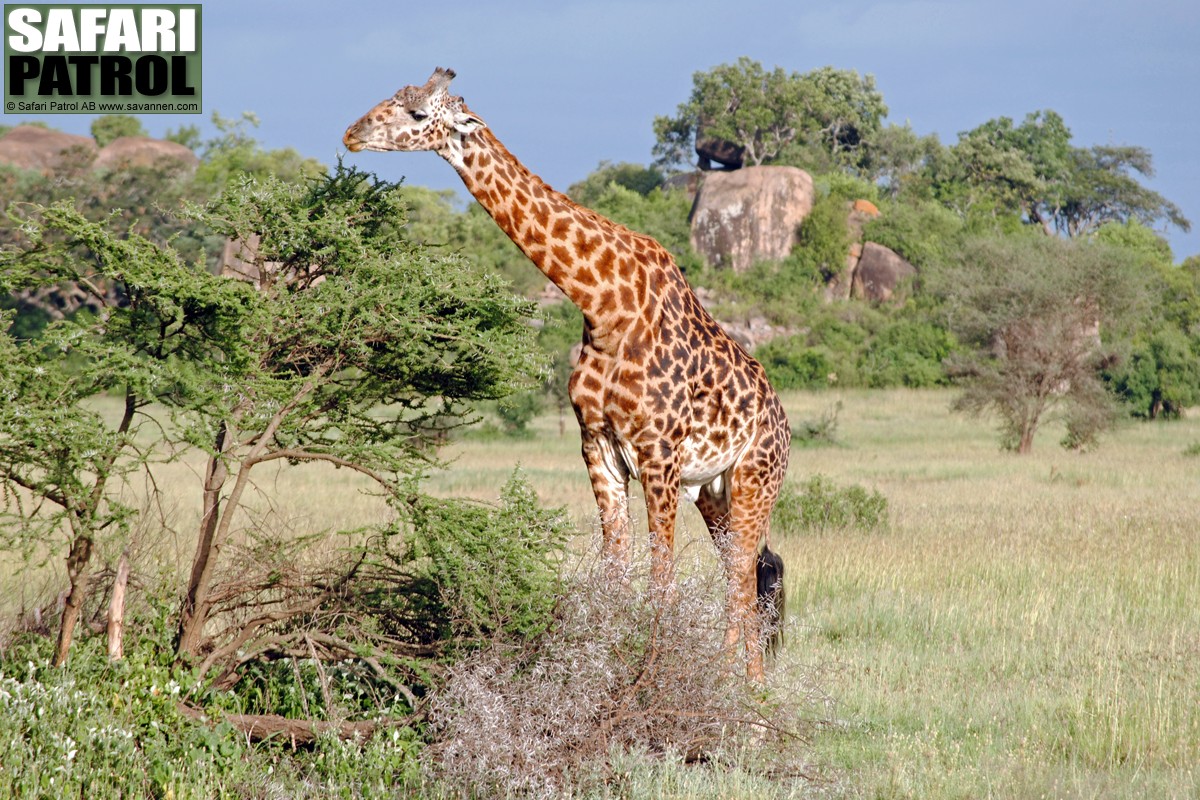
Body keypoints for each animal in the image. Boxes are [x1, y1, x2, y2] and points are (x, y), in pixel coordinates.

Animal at [343, 70, 792, 681]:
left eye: (416, 113)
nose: (352, 133)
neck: (602, 303)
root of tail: (784, 424)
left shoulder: (658, 453)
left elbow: (662, 582)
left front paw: (648, 683)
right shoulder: (597, 445)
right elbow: (615, 575)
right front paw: (607, 671)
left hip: (753, 480)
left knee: (746, 577)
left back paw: (745, 690)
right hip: (714, 491)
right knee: (741, 573)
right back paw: (737, 682)